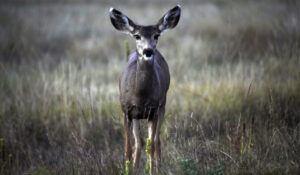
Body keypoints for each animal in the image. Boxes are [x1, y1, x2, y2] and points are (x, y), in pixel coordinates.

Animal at [109, 4, 182, 174]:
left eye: (156, 35)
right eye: (137, 36)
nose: (148, 51)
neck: (140, 95)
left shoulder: (154, 110)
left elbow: (153, 146)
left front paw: (152, 171)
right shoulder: (127, 110)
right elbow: (128, 149)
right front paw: (129, 170)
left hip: (162, 106)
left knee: (155, 142)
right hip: (137, 116)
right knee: (139, 143)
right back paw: (136, 167)